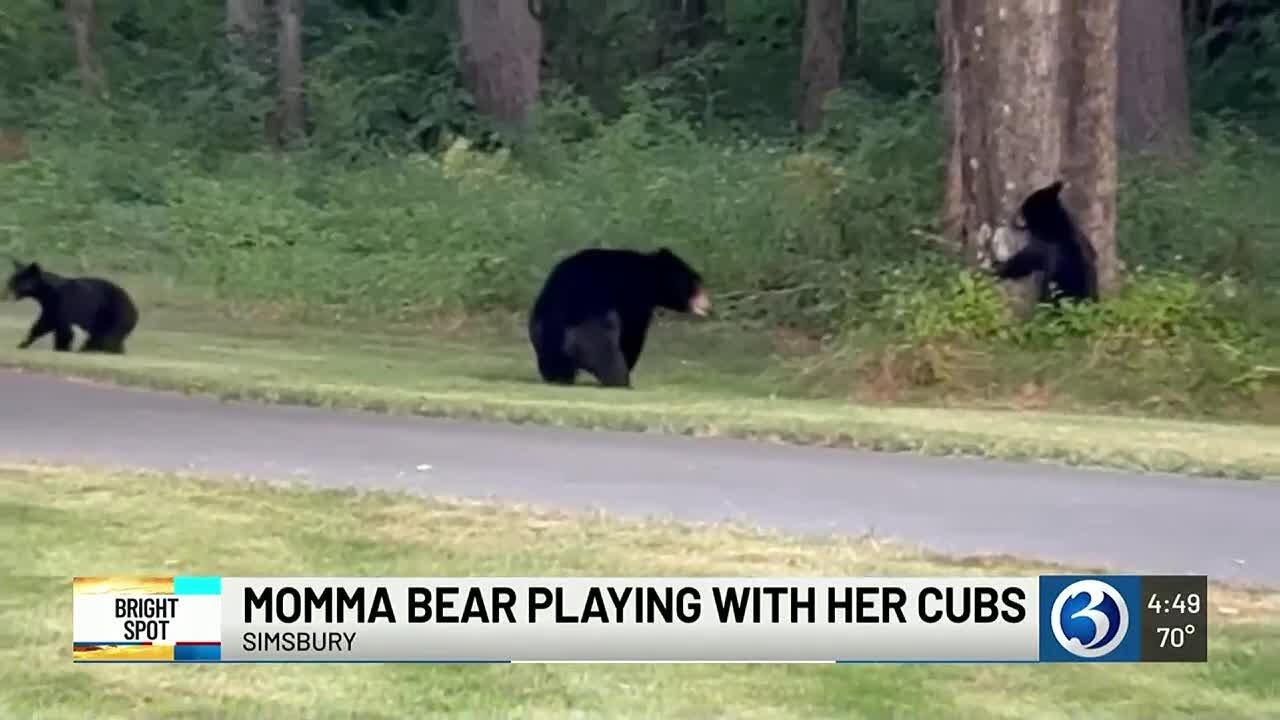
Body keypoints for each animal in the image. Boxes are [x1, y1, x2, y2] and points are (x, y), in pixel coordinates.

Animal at [5, 258, 140, 354]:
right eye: (10, 281)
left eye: (17, 284)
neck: (46, 292)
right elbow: (43, 325)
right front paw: (22, 344)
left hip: (115, 316)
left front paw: (62, 349)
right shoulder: (50, 307)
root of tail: (135, 310)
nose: (4, 294)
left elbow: (64, 330)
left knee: (106, 339)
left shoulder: (63, 302)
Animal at [528, 247, 711, 388]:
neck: (650, 276)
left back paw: (558, 377)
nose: (708, 304)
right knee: (605, 353)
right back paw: (620, 381)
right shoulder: (635, 300)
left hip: (540, 329)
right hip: (588, 330)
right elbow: (632, 333)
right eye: (697, 284)